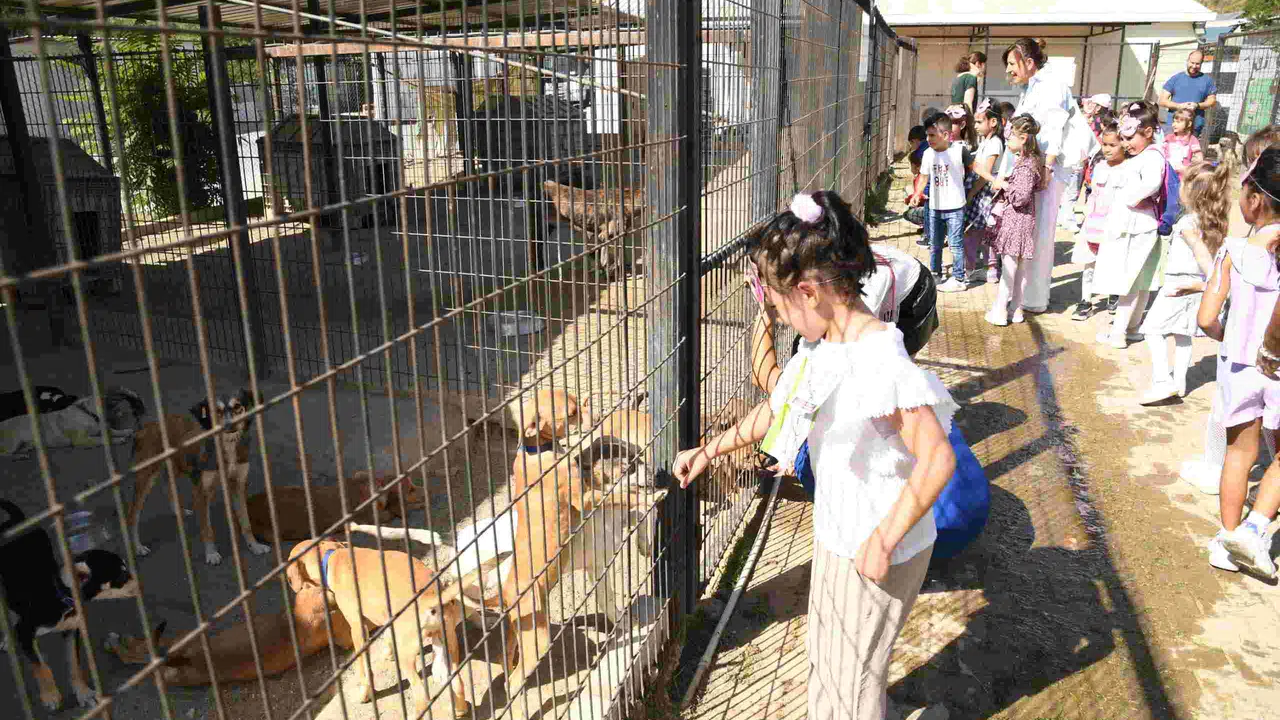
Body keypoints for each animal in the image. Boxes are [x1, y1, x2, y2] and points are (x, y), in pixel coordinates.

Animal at [0, 500, 139, 710]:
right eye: (122, 576)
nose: (140, 583)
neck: (60, 597)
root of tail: (14, 522)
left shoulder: (72, 630)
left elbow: (74, 664)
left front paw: (83, 693)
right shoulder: (25, 632)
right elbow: (40, 665)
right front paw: (50, 695)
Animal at [125, 389, 268, 565]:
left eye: (237, 406)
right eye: (216, 411)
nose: (229, 425)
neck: (226, 445)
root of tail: (145, 425)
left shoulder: (238, 485)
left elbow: (246, 523)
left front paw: (254, 546)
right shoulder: (202, 491)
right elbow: (207, 528)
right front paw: (211, 554)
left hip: (179, 466)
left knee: (168, 486)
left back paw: (179, 511)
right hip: (146, 479)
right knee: (133, 515)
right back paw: (138, 547)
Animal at [287, 540, 470, 717]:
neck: (332, 555)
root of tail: (431, 595)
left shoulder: (357, 628)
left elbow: (364, 669)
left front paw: (364, 693)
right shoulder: (387, 616)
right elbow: (388, 635)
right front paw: (388, 652)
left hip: (408, 658)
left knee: (422, 697)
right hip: (449, 645)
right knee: (458, 683)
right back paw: (460, 710)